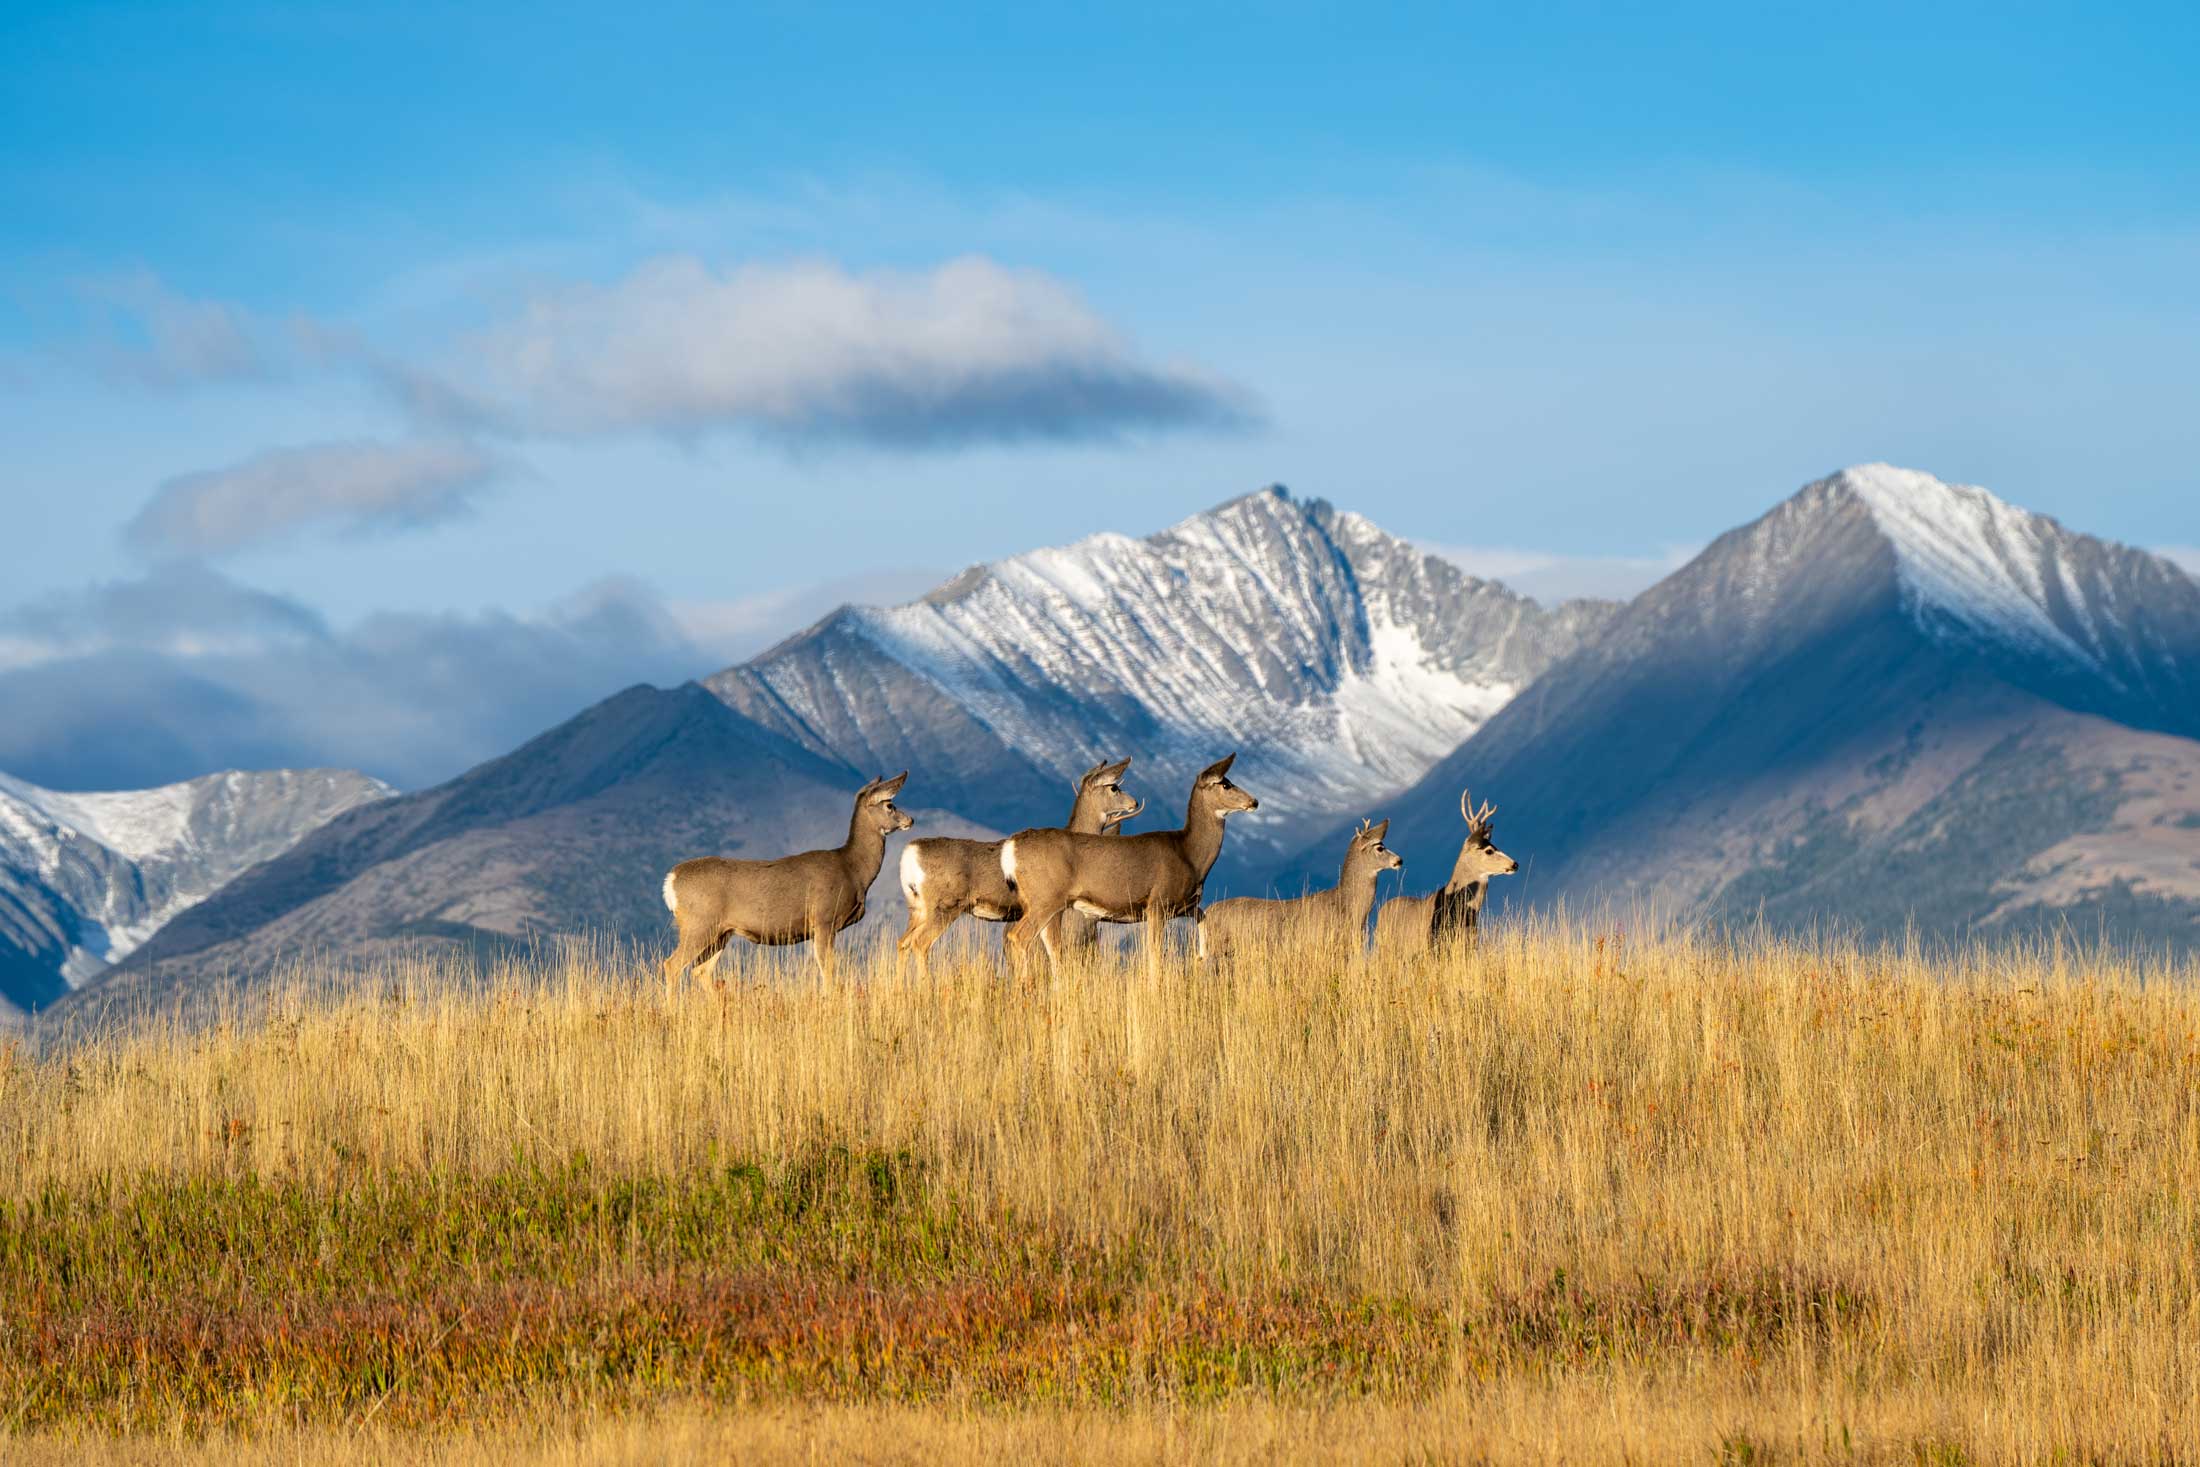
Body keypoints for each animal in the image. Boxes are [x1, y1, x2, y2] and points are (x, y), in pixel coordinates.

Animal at [659, 772, 912, 990]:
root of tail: (671, 880)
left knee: (700, 970)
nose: (910, 819)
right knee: (672, 965)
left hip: (721, 932)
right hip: (698, 924)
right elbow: (828, 971)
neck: (853, 870)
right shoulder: (824, 920)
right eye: (890, 805)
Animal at [895, 757, 1144, 973]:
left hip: (917, 907)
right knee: (919, 943)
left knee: (903, 942)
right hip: (945, 904)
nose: (1134, 802)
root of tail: (910, 854)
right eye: (1114, 787)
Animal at [1002, 753, 1260, 977]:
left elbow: (1203, 917)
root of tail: (1011, 847)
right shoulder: (1157, 902)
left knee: (1047, 945)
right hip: (1046, 898)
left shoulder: (1183, 905)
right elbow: (1155, 956)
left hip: (1047, 904)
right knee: (1019, 937)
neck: (1189, 854)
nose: (1254, 801)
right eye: (1225, 784)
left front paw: (1202, 955)